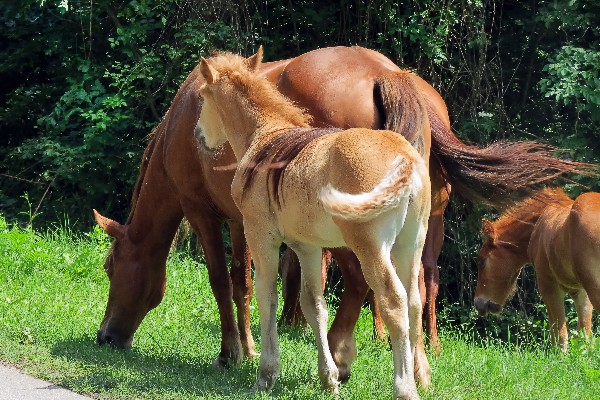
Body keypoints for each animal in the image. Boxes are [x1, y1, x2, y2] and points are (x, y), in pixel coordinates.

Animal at [198, 48, 432, 398]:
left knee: (394, 301)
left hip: (372, 249)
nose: (198, 135)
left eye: (202, 95)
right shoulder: (306, 247)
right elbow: (314, 305)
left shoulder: (261, 236)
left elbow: (267, 297)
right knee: (414, 301)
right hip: (410, 243)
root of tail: (403, 156)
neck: (265, 139)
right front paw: (329, 377)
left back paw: (404, 387)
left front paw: (266, 374)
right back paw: (418, 377)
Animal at [474, 188, 600, 350]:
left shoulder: (548, 283)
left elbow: (559, 335)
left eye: (481, 261)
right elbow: (585, 338)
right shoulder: (580, 291)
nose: (478, 303)